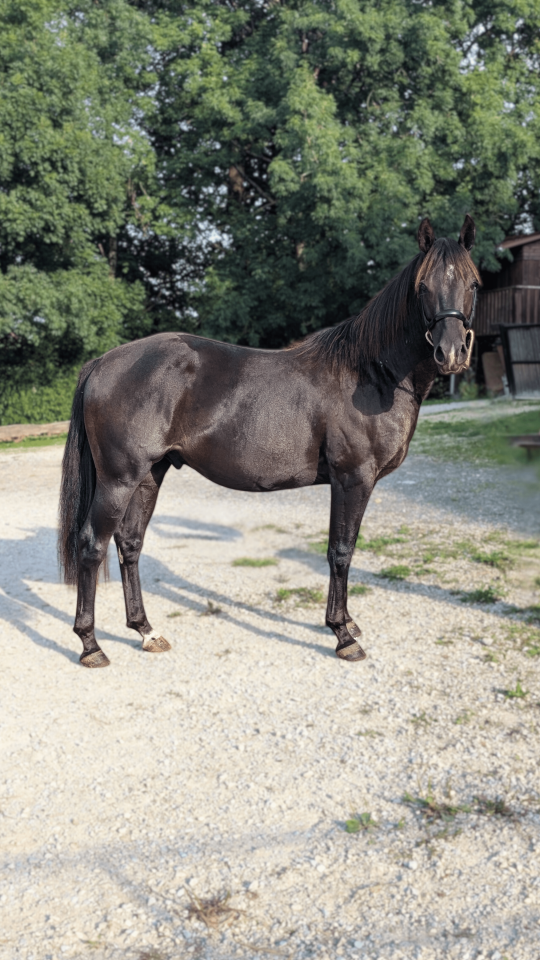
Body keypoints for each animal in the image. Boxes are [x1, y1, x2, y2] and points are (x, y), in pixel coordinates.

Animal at [58, 215, 480, 667]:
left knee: (130, 544)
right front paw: (342, 634)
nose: (451, 353)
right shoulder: (352, 479)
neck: (370, 375)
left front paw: (348, 623)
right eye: (423, 287)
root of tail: (103, 362)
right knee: (92, 545)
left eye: (473, 283)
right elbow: (341, 551)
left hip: (149, 475)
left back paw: (146, 631)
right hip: (118, 480)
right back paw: (90, 645)